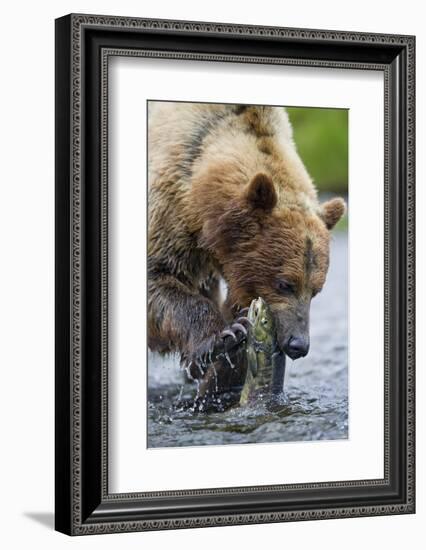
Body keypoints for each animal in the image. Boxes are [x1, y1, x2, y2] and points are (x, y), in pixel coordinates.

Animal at [148, 101, 344, 396]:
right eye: (285, 284)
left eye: (316, 290)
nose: (298, 344)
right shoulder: (169, 209)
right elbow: (159, 279)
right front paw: (225, 336)